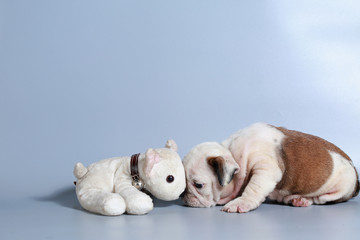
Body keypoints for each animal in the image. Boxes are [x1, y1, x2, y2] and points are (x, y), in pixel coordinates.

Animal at [184, 123, 358, 213]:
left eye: (199, 185)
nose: (184, 196)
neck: (232, 153)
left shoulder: (265, 169)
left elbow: (253, 189)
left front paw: (241, 202)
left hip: (339, 190)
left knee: (321, 199)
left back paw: (302, 200)